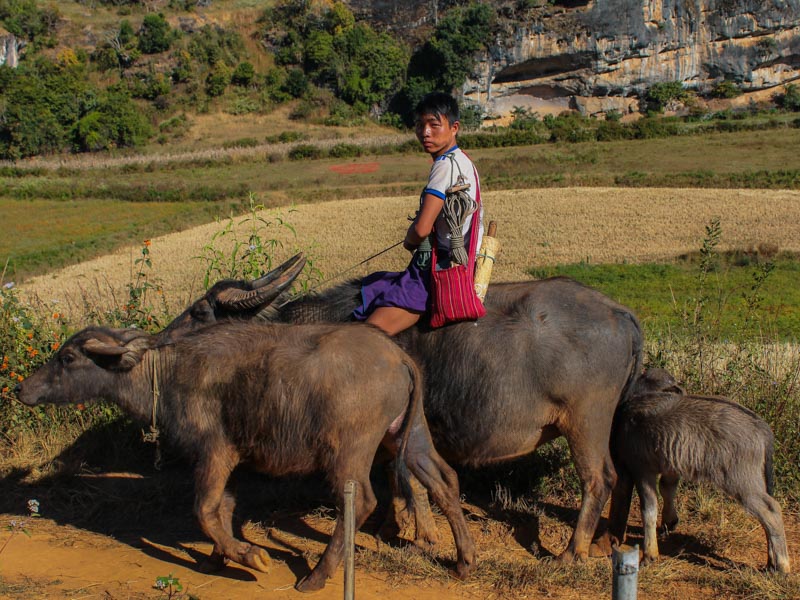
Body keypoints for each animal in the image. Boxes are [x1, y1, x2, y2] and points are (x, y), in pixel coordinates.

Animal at [208, 272, 644, 564]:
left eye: (202, 314)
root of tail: (618, 311)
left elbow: (407, 478)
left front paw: (421, 534)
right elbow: (399, 477)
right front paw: (396, 525)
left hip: (585, 423)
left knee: (599, 479)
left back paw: (572, 551)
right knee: (624, 478)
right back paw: (606, 541)